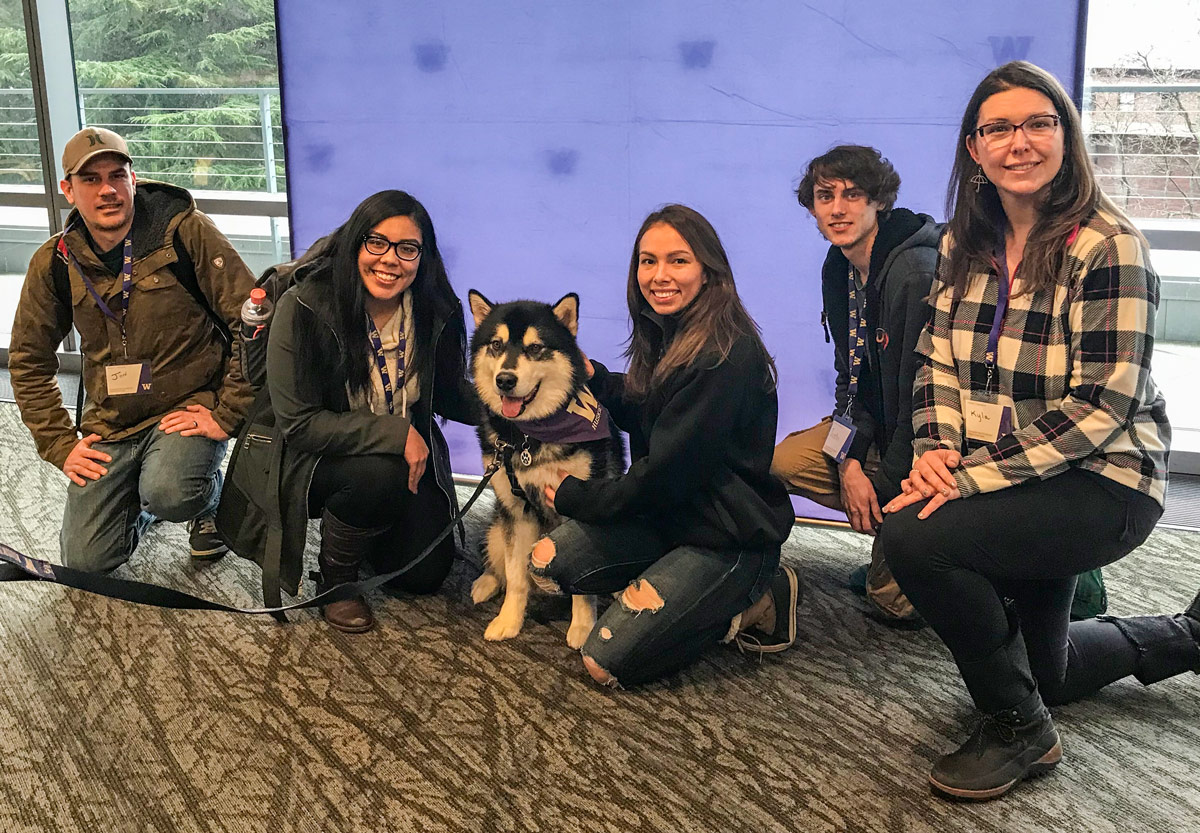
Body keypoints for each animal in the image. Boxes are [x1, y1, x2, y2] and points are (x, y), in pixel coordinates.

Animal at [468, 290, 624, 648]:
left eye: (535, 347)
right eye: (496, 345)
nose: (505, 380)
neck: (527, 437)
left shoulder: (578, 504)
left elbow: (582, 588)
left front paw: (582, 628)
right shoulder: (515, 510)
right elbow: (515, 578)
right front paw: (509, 621)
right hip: (498, 526)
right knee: (499, 560)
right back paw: (486, 582)